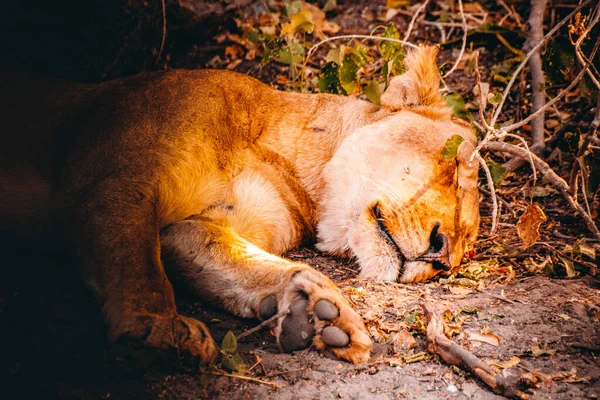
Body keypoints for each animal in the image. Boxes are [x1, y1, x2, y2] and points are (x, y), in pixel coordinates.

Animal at [0, 45, 478, 364]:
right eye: (453, 167)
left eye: (466, 248)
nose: (441, 258)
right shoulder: (112, 179)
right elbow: (136, 261)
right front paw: (157, 327)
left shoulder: (188, 229)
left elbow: (239, 262)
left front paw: (318, 310)